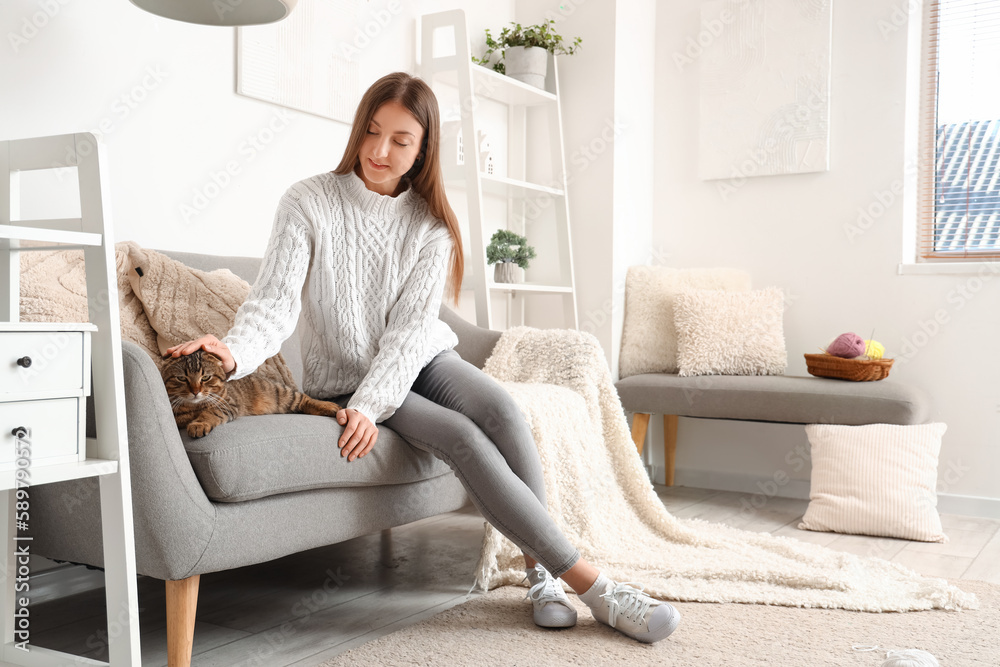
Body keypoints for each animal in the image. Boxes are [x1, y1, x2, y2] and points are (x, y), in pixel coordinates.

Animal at [160, 350, 340, 438]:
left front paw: (199, 423)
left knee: (304, 399)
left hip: (281, 394)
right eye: (182, 378)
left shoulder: (228, 404)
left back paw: (330, 406)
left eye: (205, 377)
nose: (195, 391)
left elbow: (211, 412)